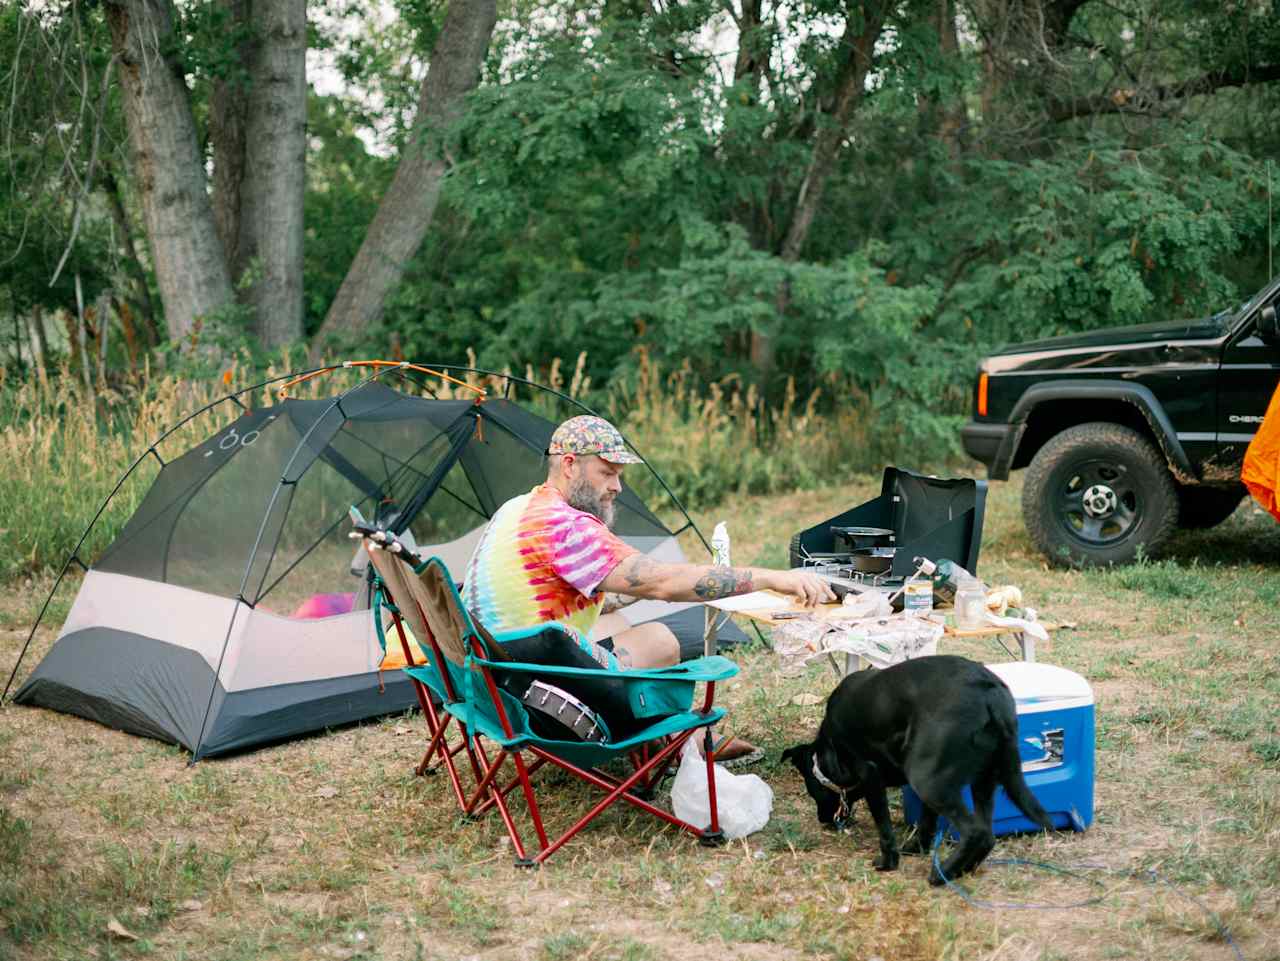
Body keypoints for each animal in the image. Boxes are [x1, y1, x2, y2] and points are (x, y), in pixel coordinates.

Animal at [778, 655, 1049, 885]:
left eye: (813, 791)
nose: (822, 819)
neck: (830, 746)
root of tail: (989, 691)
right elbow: (927, 820)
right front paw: (917, 848)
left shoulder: (871, 776)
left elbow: (884, 828)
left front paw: (888, 863)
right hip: (983, 779)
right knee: (988, 833)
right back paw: (962, 869)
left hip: (926, 780)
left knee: (977, 832)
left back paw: (942, 875)